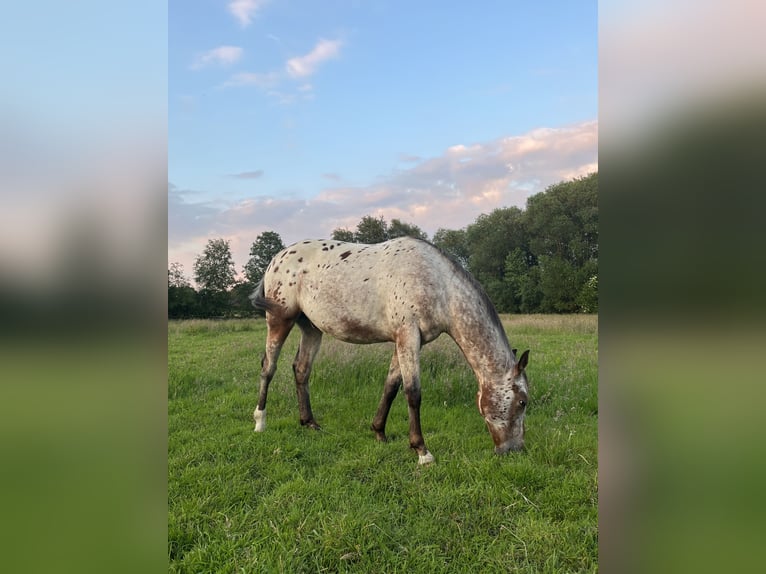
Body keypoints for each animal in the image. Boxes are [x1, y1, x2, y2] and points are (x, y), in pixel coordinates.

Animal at [249, 236, 532, 466]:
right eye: (522, 402)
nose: (514, 450)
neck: (438, 285)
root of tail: (276, 259)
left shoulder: (405, 340)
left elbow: (391, 387)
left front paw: (379, 432)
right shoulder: (408, 336)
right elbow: (413, 393)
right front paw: (422, 451)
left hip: (311, 329)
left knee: (301, 370)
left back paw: (310, 423)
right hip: (279, 321)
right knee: (268, 367)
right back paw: (260, 422)